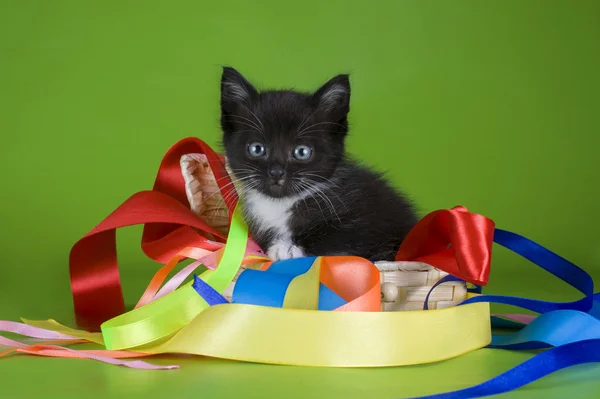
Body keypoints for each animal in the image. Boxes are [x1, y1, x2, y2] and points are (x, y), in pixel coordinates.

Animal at [219, 67, 418, 262]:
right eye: (256, 148)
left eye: (302, 152)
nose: (276, 172)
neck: (283, 204)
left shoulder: (366, 221)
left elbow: (340, 239)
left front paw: (288, 248)